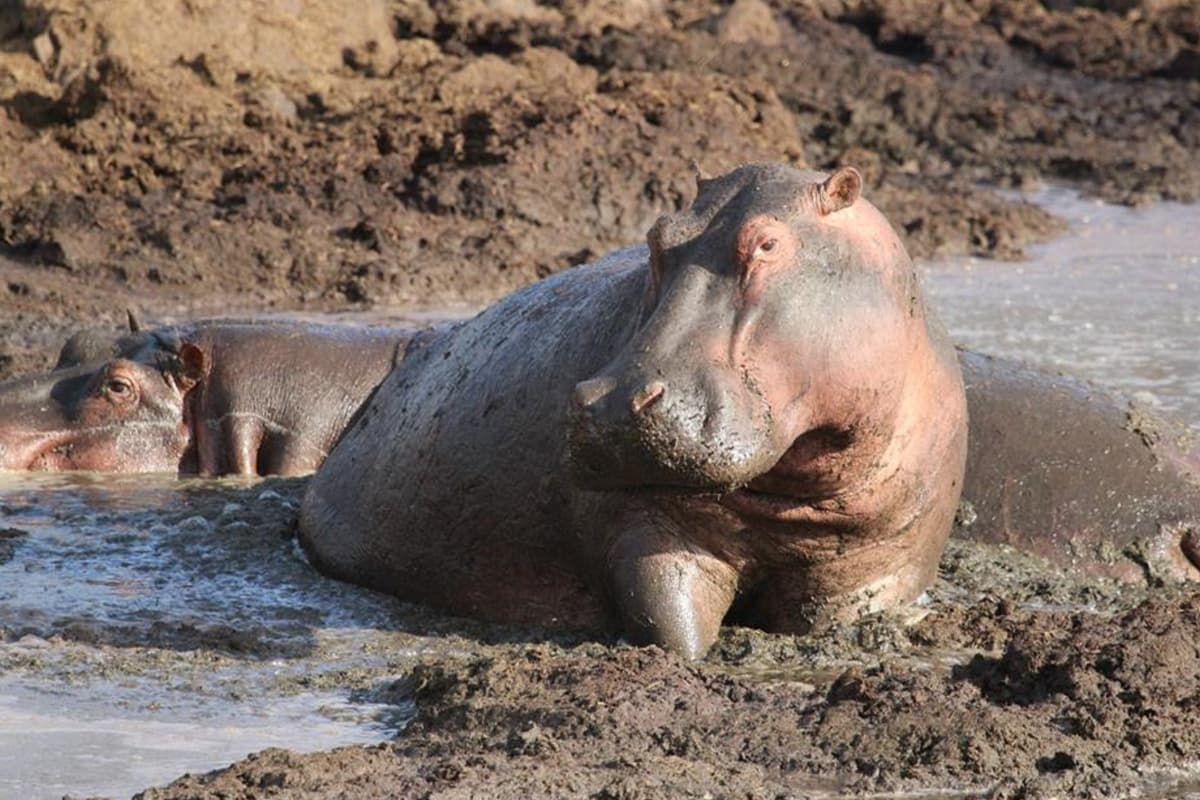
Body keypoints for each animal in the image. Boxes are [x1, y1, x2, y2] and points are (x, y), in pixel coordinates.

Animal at [300, 163, 970, 659]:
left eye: (767, 242)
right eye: (656, 237)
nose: (616, 401)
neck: (796, 488)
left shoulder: (878, 566)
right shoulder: (646, 529)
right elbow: (672, 628)